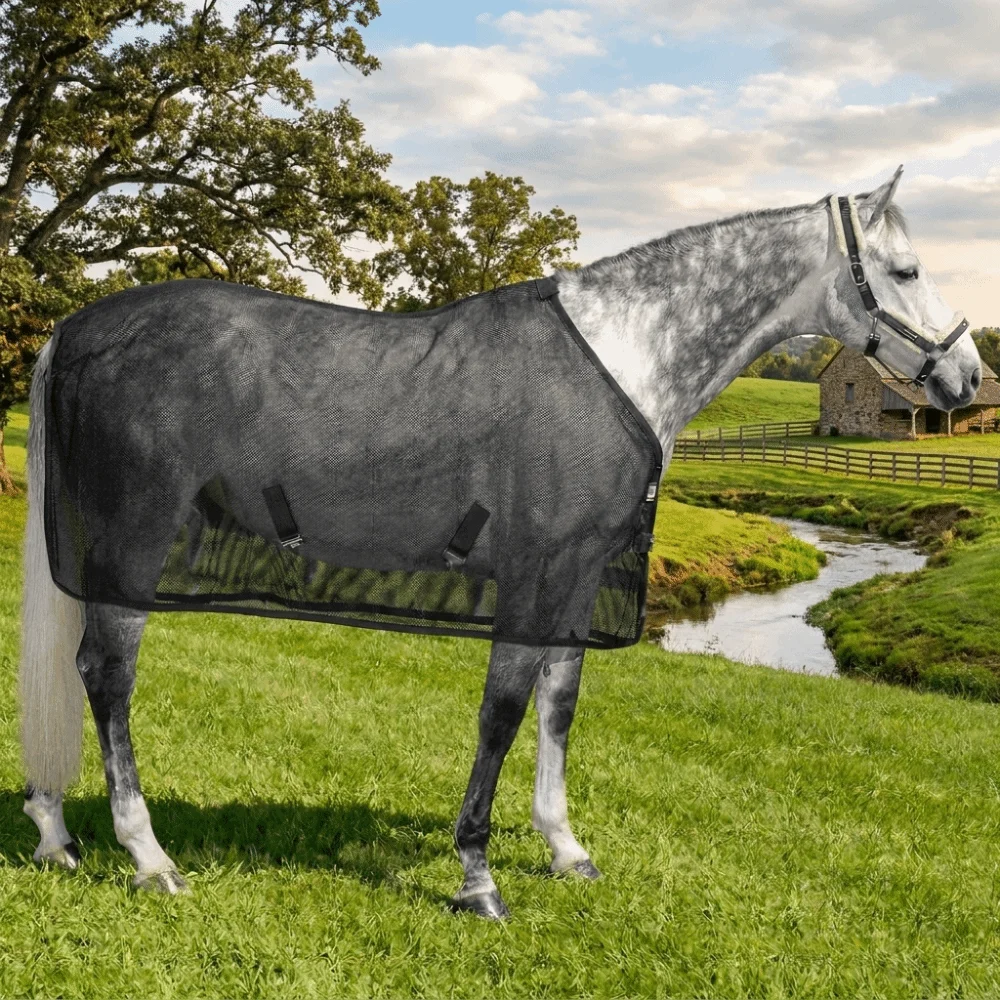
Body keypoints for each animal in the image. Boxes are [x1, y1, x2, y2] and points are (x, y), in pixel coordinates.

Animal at [19, 166, 981, 919]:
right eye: (905, 268)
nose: (969, 377)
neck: (620, 360)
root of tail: (74, 330)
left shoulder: (578, 578)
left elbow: (559, 704)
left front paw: (565, 847)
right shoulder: (534, 571)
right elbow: (504, 711)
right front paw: (478, 876)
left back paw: (56, 832)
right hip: (132, 547)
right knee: (107, 678)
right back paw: (148, 857)